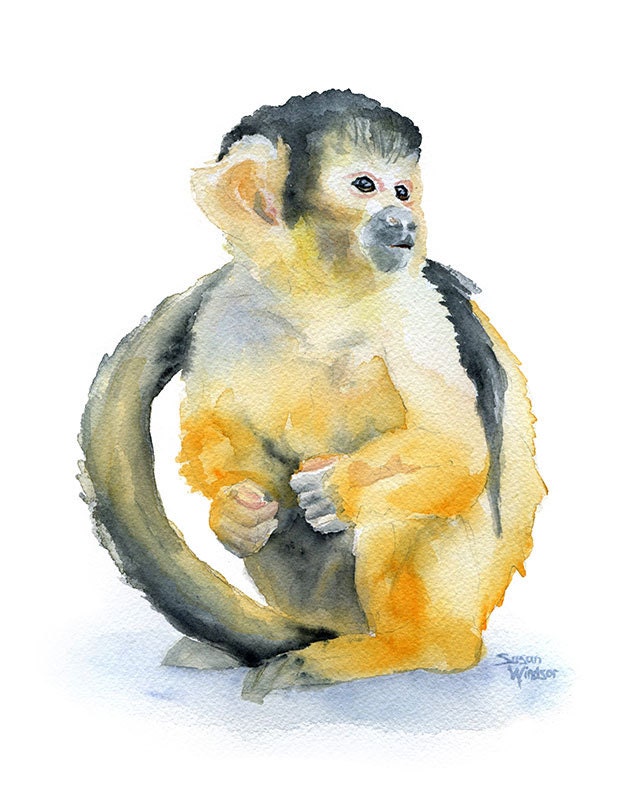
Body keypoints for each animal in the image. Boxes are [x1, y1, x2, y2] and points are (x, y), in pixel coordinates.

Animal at [79, 90, 546, 702]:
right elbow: (216, 423)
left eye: (402, 190)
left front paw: (333, 488)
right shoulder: (230, 302)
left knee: (393, 518)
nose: (404, 221)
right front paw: (234, 512)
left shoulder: (415, 306)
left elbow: (456, 446)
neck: (321, 290)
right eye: (366, 186)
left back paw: (403, 650)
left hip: (463, 591)